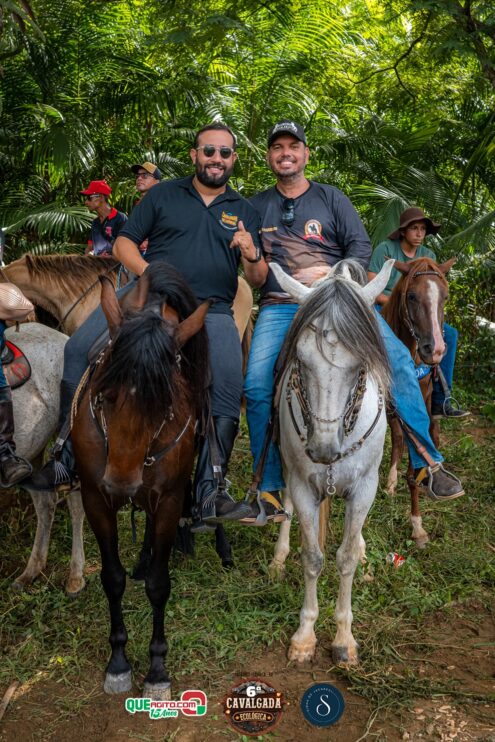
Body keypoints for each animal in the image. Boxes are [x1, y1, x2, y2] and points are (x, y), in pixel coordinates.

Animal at [71, 263, 210, 697]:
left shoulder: (168, 500)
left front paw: (157, 669)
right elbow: (112, 578)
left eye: (165, 405)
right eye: (105, 394)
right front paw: (118, 661)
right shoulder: (96, 498)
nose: (121, 484)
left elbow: (159, 585)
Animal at [267, 259, 394, 665]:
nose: (323, 449)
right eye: (300, 360)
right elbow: (312, 557)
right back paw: (278, 558)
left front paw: (343, 637)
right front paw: (305, 636)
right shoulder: (304, 485)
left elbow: (346, 557)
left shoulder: (365, 488)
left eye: (360, 367)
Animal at [381, 256, 456, 547]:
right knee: (397, 437)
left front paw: (417, 525)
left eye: (445, 296)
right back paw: (391, 481)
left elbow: (417, 454)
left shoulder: (421, 399)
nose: (434, 350)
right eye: (411, 296)